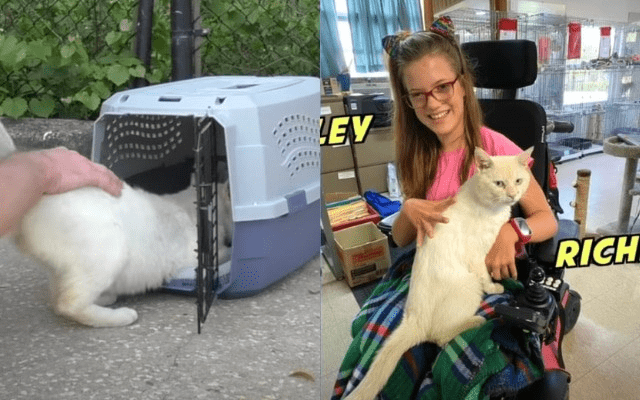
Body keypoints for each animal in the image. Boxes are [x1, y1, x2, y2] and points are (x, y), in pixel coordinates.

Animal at [0, 122, 234, 328]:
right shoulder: (198, 254)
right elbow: (222, 254)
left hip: (67, 268)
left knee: (58, 293)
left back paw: (106, 297)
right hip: (111, 251)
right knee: (68, 304)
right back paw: (121, 316)